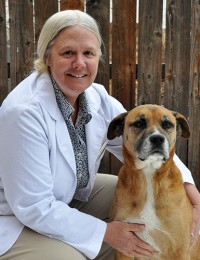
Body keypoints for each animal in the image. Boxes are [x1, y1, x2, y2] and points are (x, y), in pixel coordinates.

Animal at [108, 104, 199, 258]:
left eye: (167, 124)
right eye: (139, 123)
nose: (157, 139)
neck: (148, 174)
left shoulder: (180, 249)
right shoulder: (124, 246)